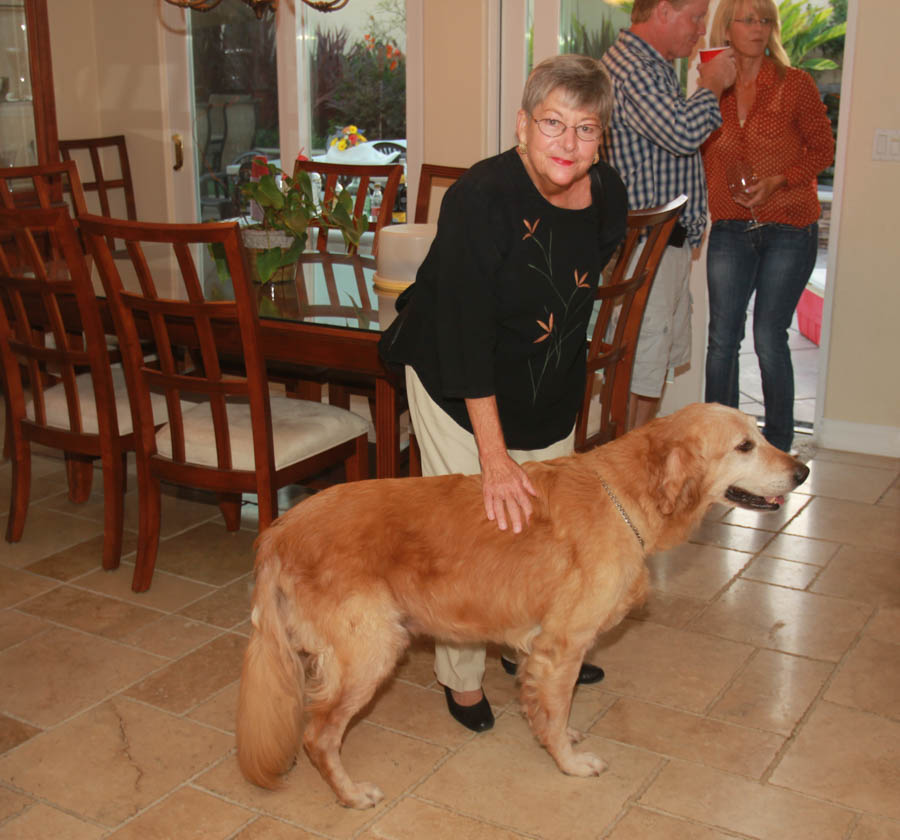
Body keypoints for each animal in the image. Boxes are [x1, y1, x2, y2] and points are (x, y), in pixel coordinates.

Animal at [237, 404, 808, 812]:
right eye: (745, 445)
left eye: (758, 435)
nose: (802, 471)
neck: (625, 497)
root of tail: (278, 531)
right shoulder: (562, 647)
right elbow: (555, 712)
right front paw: (570, 764)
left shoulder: (544, 651)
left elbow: (552, 709)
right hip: (371, 651)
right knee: (318, 736)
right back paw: (351, 794)